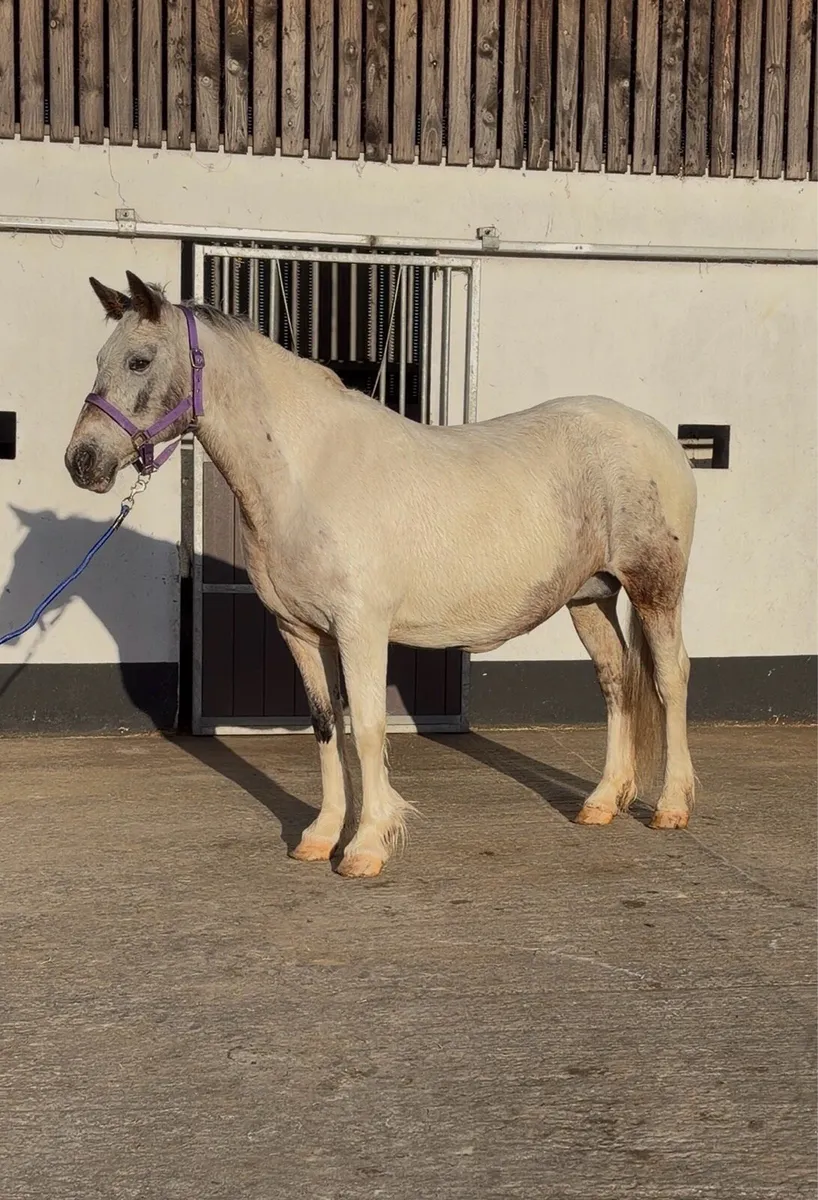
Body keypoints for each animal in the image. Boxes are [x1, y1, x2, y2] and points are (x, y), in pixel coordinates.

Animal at [65, 272, 698, 879]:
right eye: (98, 358)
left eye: (139, 360)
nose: (81, 462)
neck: (308, 472)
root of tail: (659, 437)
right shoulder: (301, 632)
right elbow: (325, 726)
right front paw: (320, 838)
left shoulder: (360, 629)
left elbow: (368, 727)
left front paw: (367, 846)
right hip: (590, 597)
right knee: (616, 680)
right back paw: (602, 802)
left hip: (655, 590)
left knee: (670, 679)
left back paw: (671, 807)